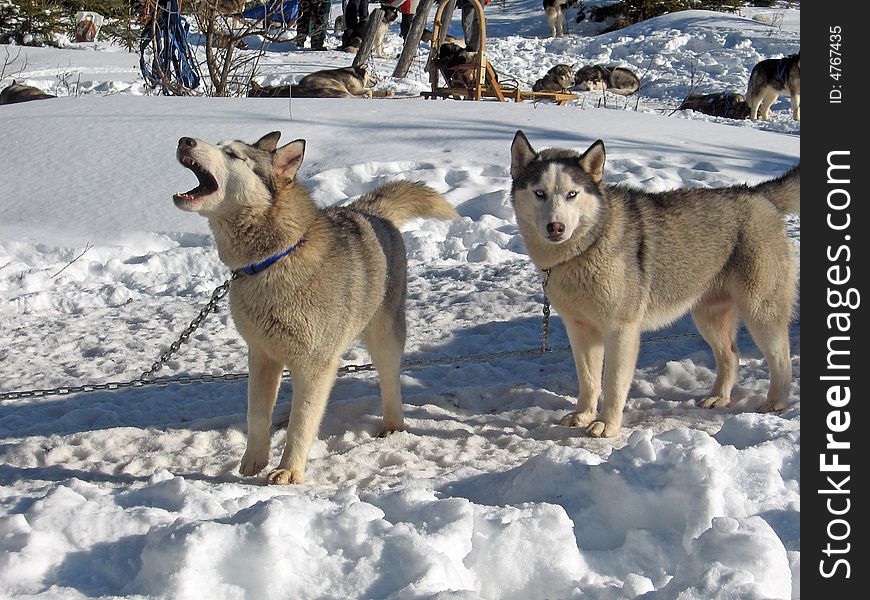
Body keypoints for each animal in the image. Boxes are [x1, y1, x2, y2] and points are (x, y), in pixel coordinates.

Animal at [170, 131, 456, 482]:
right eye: (218, 144)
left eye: (234, 155)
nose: (185, 140)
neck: (274, 259)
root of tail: (370, 211)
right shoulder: (261, 356)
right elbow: (256, 415)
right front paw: (253, 461)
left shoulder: (315, 363)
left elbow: (302, 422)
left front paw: (289, 470)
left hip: (385, 338)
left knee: (390, 381)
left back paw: (392, 424)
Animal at [510, 131, 804, 438]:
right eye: (539, 193)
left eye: (572, 194)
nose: (556, 227)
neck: (588, 245)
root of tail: (757, 194)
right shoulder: (580, 330)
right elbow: (589, 380)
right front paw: (584, 414)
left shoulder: (621, 330)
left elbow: (613, 384)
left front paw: (606, 424)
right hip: (708, 316)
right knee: (731, 356)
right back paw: (719, 397)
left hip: (760, 312)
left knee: (781, 359)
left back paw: (776, 402)